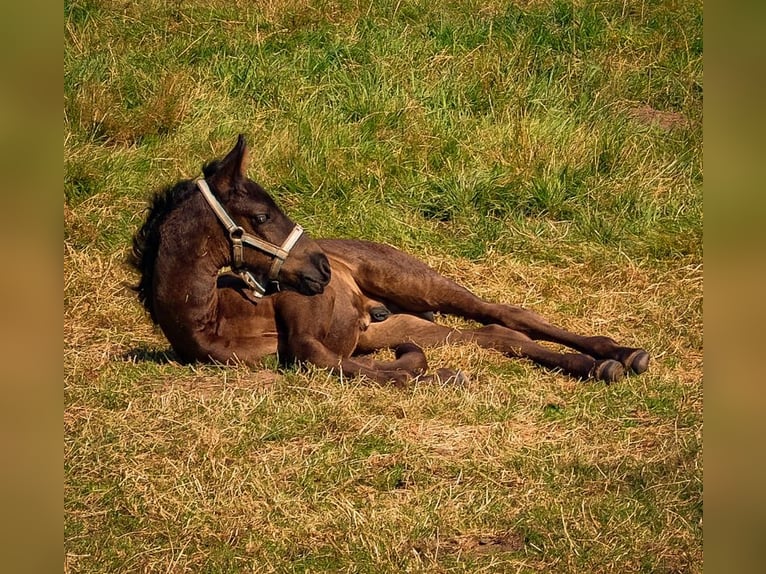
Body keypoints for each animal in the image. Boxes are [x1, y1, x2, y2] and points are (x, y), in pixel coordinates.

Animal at [130, 136, 648, 388]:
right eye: (260, 216)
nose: (322, 269)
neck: (218, 318)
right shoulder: (338, 346)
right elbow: (361, 367)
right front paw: (439, 374)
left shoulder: (308, 333)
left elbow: (331, 362)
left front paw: (433, 374)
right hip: (394, 323)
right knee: (496, 336)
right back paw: (597, 368)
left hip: (414, 282)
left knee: (506, 314)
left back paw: (623, 353)